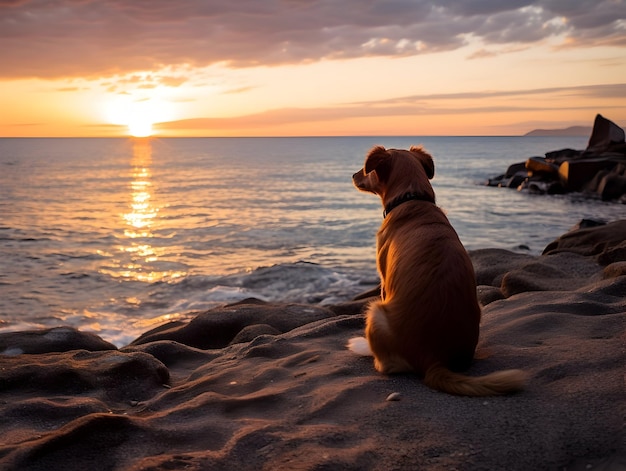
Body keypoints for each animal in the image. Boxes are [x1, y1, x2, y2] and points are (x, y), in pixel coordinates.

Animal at [348, 146, 524, 396]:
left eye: (366, 171)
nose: (353, 175)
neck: (412, 199)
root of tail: (434, 360)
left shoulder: (384, 279)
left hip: (376, 312)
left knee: (387, 365)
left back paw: (364, 347)